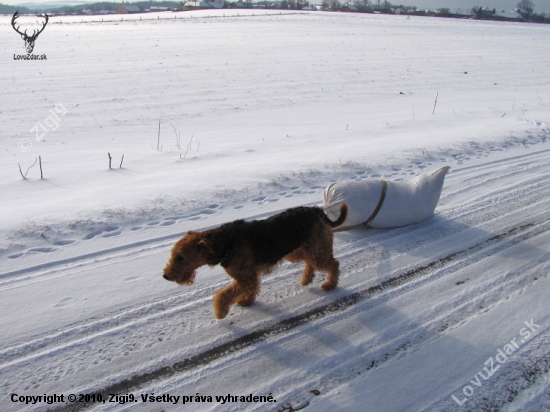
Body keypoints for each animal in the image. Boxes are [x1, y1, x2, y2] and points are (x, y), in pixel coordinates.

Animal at [162, 203, 348, 318]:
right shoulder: (248, 276)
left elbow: (222, 295)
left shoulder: (245, 277)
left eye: (181, 257)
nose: (166, 276)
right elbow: (250, 290)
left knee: (334, 263)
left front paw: (221, 312)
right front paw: (247, 301)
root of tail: (318, 211)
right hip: (297, 251)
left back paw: (330, 284)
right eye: (173, 254)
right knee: (311, 262)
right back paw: (307, 279)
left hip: (314, 250)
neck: (224, 244)